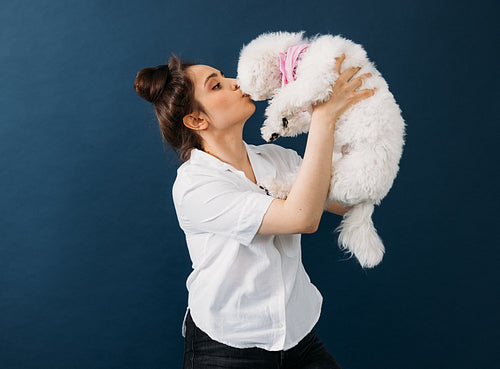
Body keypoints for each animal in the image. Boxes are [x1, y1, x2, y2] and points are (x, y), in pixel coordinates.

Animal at [238, 30, 406, 268]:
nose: (238, 87)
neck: (298, 56)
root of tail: (372, 198)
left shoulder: (316, 80)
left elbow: (286, 96)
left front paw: (276, 118)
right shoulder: (314, 107)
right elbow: (300, 119)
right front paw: (276, 128)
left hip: (338, 174)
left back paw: (274, 186)